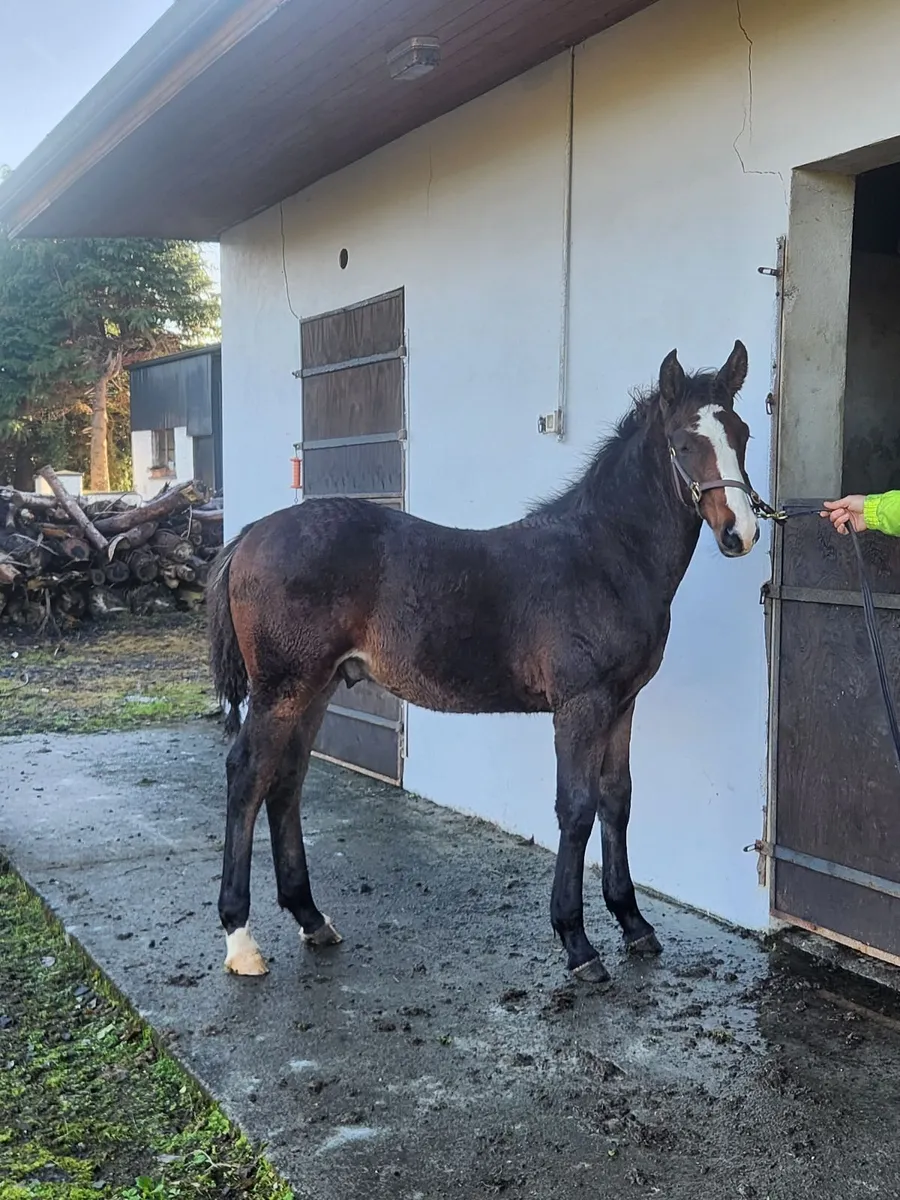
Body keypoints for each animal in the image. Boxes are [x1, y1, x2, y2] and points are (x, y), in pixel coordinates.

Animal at [207, 341, 762, 987]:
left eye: (742, 434)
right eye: (683, 442)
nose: (741, 533)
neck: (605, 555)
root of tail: (249, 535)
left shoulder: (623, 702)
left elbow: (617, 800)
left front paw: (634, 923)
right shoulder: (580, 705)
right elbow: (576, 808)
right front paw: (577, 943)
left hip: (316, 687)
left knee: (287, 779)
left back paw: (311, 918)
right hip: (282, 688)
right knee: (248, 775)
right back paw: (241, 940)